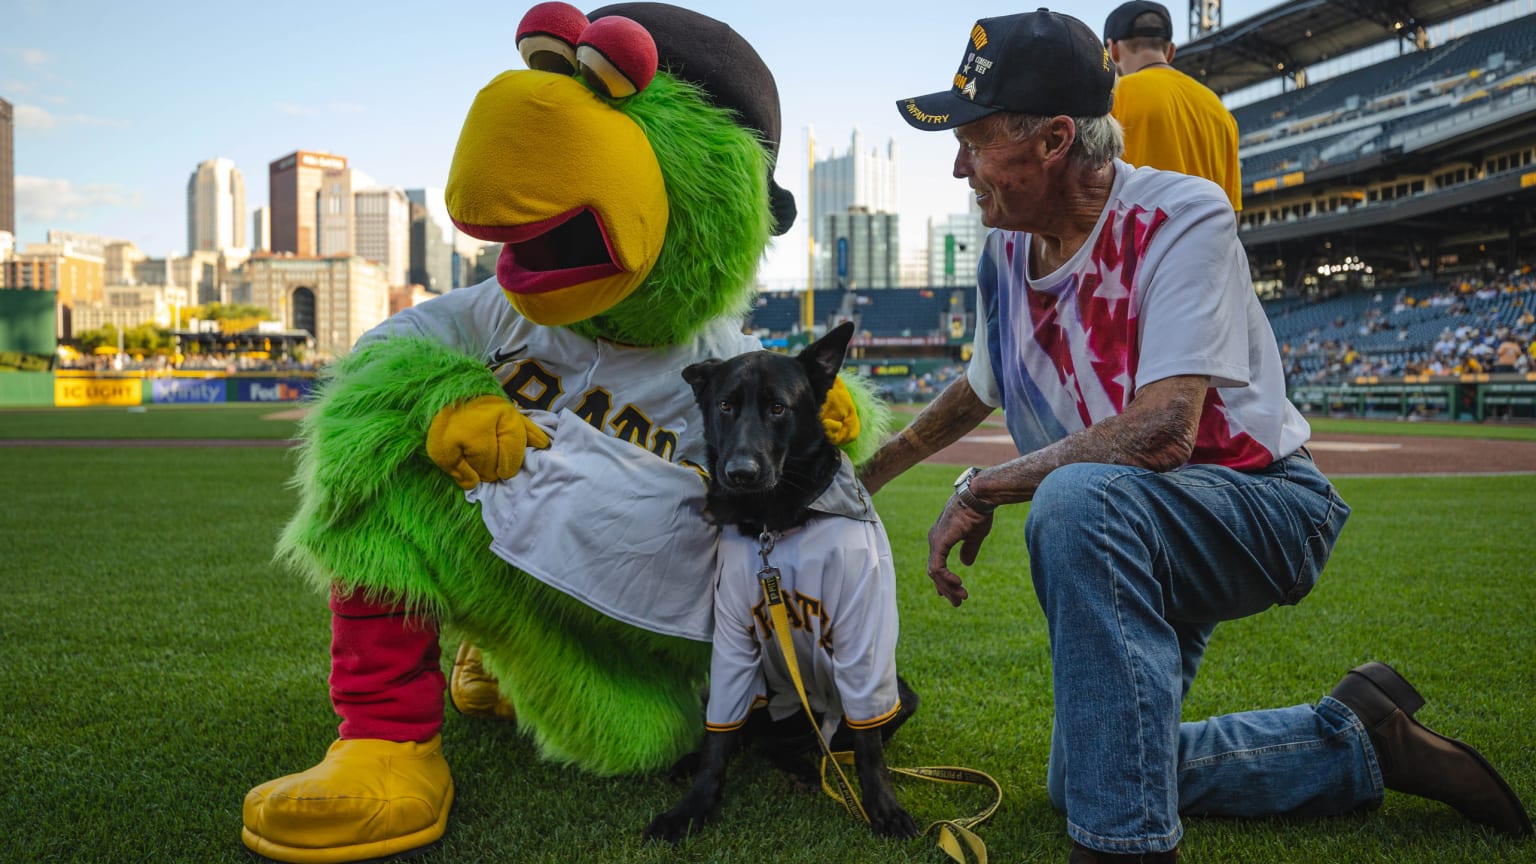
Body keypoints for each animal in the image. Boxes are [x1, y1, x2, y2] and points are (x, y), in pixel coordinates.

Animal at [642, 322, 915, 842]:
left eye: (778, 407)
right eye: (725, 405)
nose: (740, 473)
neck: (774, 522)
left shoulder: (862, 639)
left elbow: (869, 748)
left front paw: (883, 808)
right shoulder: (732, 641)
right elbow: (718, 742)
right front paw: (693, 808)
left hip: (898, 695)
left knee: (805, 743)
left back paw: (806, 767)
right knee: (749, 735)